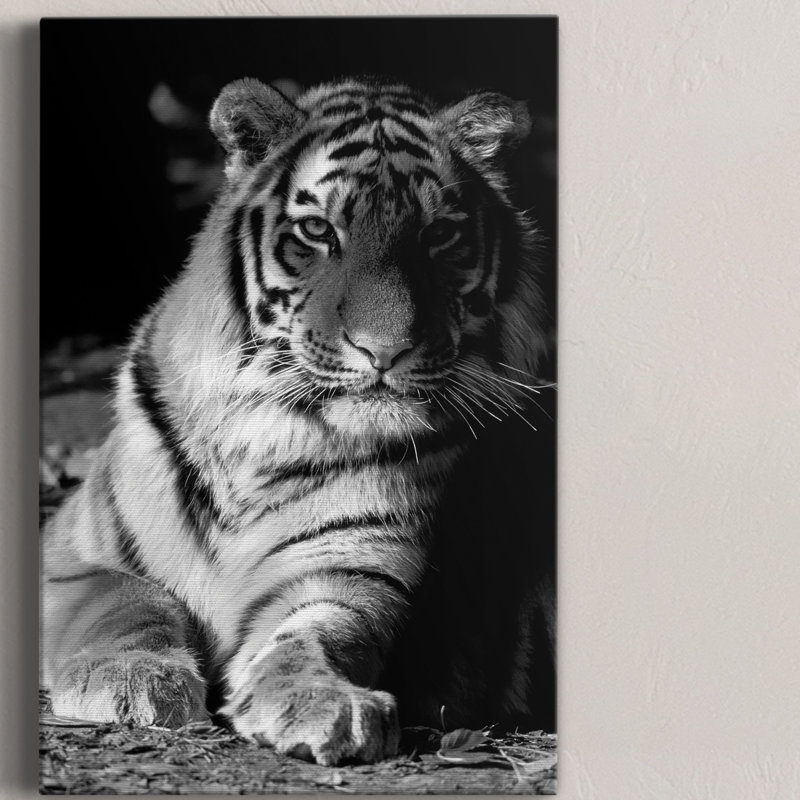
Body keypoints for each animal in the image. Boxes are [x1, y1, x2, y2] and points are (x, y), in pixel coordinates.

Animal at [41, 76, 555, 766]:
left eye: (438, 235)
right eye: (317, 230)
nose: (385, 350)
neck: (265, 432)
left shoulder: (348, 571)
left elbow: (313, 635)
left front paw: (322, 702)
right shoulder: (70, 554)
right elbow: (127, 601)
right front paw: (132, 681)